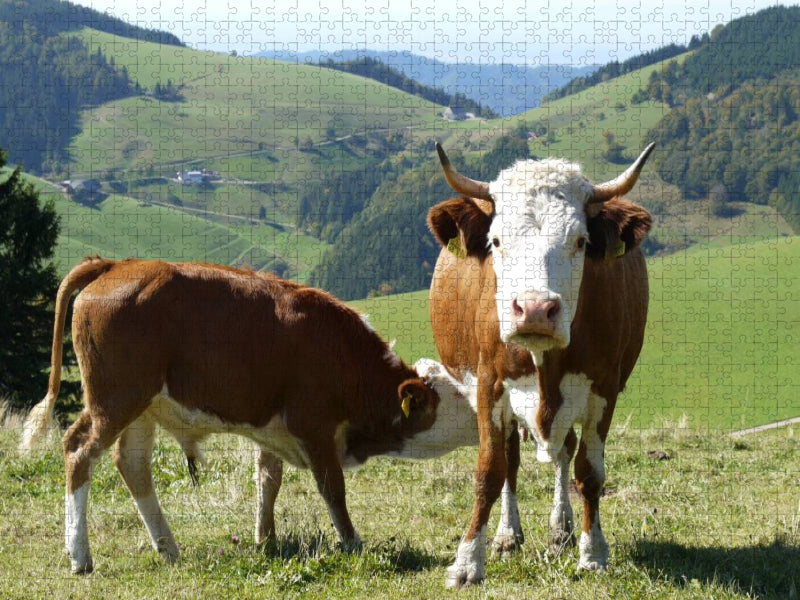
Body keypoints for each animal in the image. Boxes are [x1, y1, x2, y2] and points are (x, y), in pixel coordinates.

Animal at [20, 257, 479, 574]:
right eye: (457, 399)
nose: (488, 417)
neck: (343, 354)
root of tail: (117, 263)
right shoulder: (313, 424)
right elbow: (333, 488)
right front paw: (352, 543)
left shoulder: (273, 429)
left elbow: (268, 482)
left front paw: (266, 540)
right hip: (115, 399)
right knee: (79, 452)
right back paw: (80, 556)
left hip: (142, 409)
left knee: (132, 465)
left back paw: (168, 547)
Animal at [426, 142, 654, 587]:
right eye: (496, 241)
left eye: (580, 241)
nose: (534, 310)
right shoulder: (489, 386)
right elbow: (490, 471)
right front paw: (467, 561)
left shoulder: (603, 391)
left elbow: (590, 472)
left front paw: (593, 552)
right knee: (512, 461)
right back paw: (507, 534)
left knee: (564, 453)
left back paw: (561, 529)